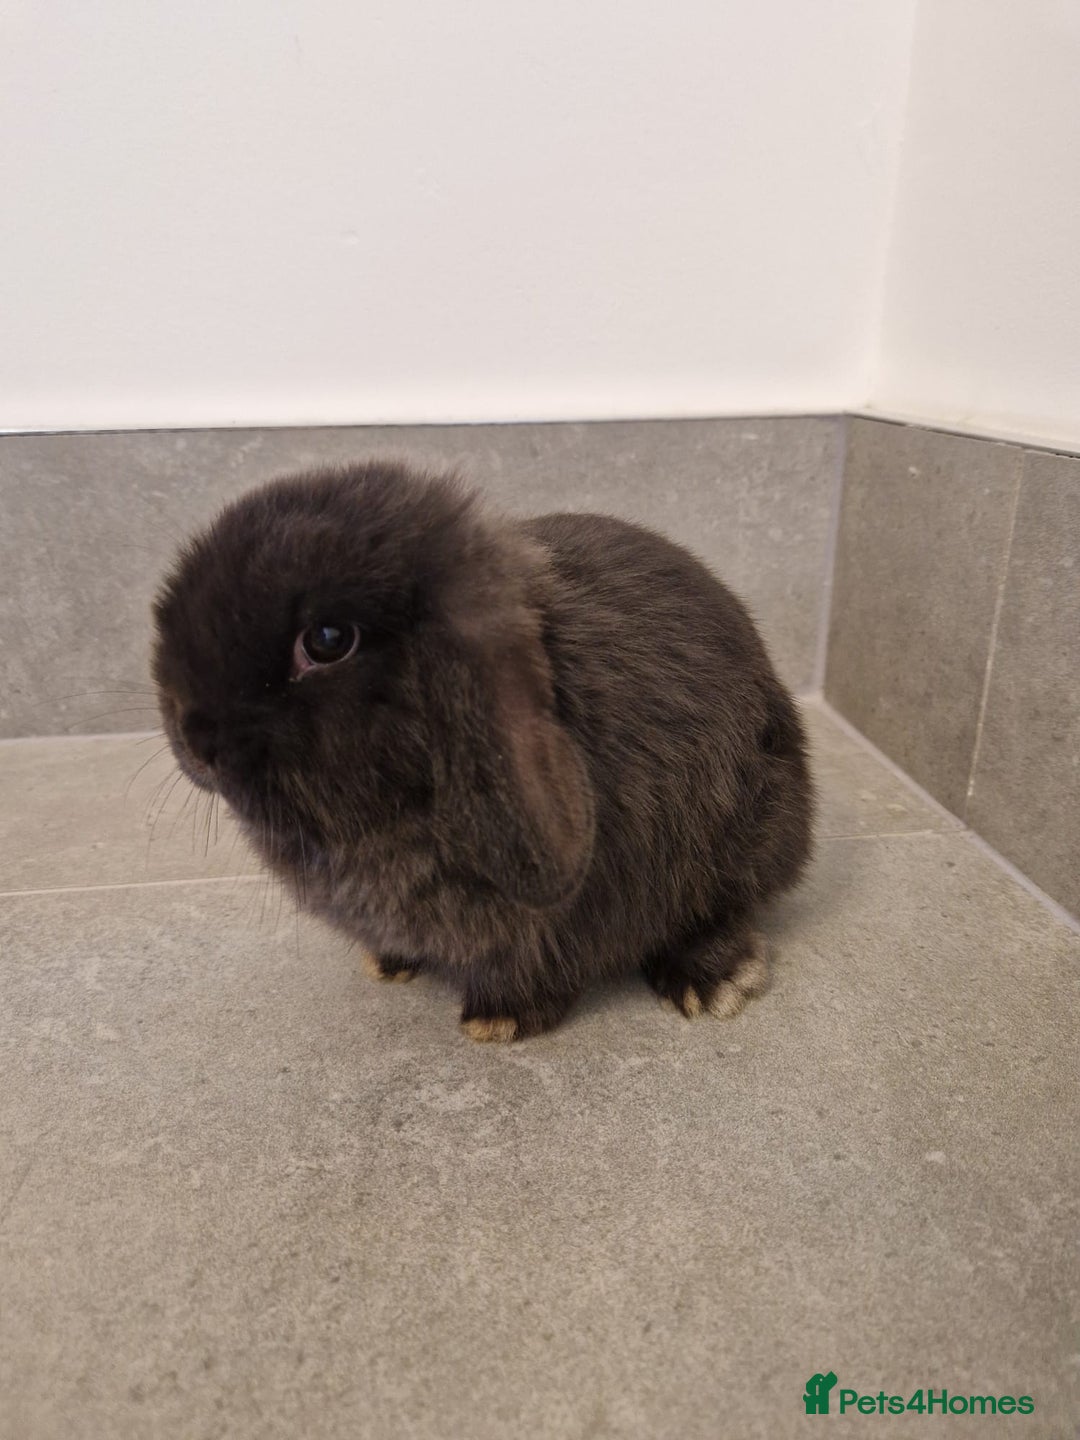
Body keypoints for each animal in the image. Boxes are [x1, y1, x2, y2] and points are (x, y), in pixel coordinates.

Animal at [153, 460, 813, 1041]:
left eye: (328, 640)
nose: (194, 740)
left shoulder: (538, 922)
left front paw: (498, 1023)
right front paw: (388, 963)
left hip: (743, 837)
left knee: (723, 909)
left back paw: (714, 982)